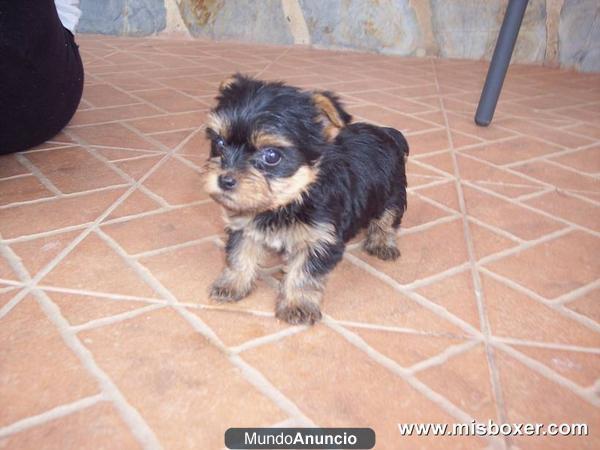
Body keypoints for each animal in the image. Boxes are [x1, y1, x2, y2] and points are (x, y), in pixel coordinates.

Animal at [203, 74, 408, 326]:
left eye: (271, 156)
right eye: (219, 143)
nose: (225, 180)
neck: (289, 200)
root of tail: (387, 132)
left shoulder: (319, 239)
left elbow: (304, 273)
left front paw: (297, 305)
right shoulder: (244, 226)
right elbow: (239, 255)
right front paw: (232, 284)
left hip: (393, 192)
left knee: (388, 219)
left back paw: (382, 243)